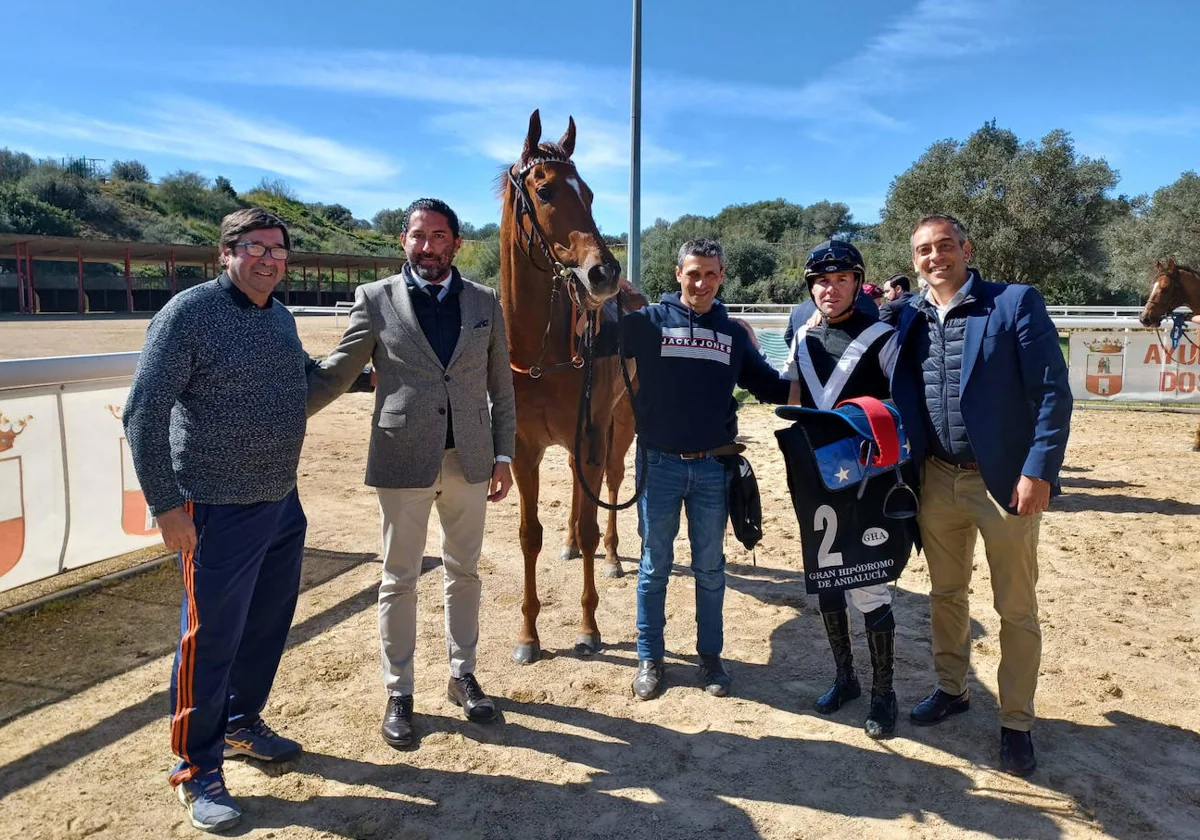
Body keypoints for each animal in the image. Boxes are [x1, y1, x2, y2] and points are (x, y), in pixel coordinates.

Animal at [499, 109, 648, 662]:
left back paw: (614, 556)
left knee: (613, 483)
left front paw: (588, 627)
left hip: (620, 425)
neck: (542, 355)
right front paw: (528, 636)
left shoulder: (591, 433)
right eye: (544, 190)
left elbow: (589, 525)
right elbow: (529, 536)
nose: (603, 272)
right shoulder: (523, 447)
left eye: (588, 192)